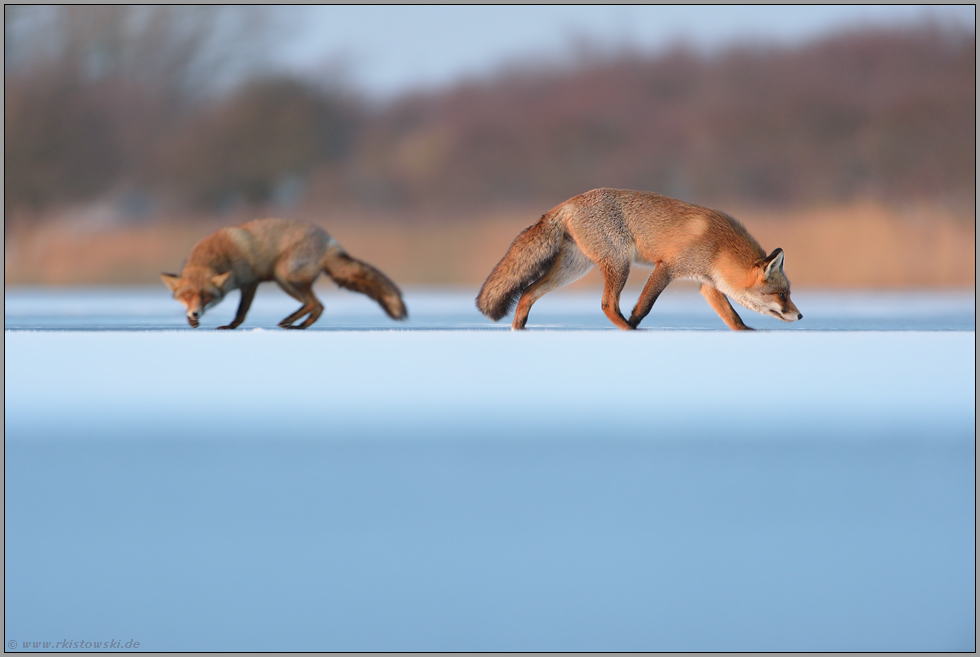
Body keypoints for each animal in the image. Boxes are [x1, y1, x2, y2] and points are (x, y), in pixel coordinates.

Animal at [163, 218, 408, 328]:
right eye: (187, 296)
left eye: (206, 296)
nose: (195, 313)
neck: (216, 253)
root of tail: (329, 240)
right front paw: (191, 321)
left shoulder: (250, 283)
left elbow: (241, 312)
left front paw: (230, 327)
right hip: (285, 282)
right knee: (317, 306)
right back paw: (298, 325)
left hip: (285, 276)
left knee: (315, 304)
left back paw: (293, 322)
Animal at [476, 191, 804, 334]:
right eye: (782, 294)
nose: (800, 316)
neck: (719, 247)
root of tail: (568, 202)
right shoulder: (667, 267)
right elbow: (645, 305)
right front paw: (635, 324)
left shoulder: (707, 285)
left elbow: (732, 317)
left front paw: (748, 333)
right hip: (619, 263)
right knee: (607, 304)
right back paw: (628, 329)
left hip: (572, 270)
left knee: (528, 291)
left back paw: (519, 331)